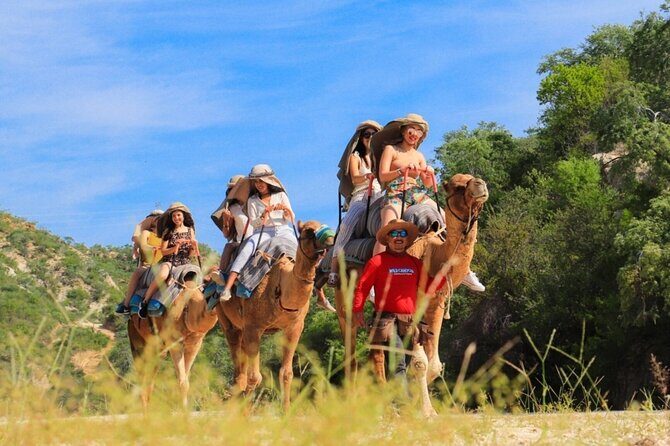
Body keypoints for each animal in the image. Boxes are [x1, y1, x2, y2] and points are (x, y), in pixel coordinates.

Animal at [127, 272, 218, 408]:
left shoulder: (195, 343)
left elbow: (186, 381)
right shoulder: (174, 342)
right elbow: (182, 382)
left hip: (158, 349)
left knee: (150, 381)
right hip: (135, 337)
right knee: (141, 376)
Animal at [215, 220, 334, 411]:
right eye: (308, 230)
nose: (330, 239)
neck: (280, 286)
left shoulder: (295, 327)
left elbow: (287, 373)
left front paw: (286, 411)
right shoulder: (253, 327)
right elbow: (255, 376)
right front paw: (245, 413)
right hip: (227, 322)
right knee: (239, 370)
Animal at [335, 174, 489, 385]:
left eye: (471, 178)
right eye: (456, 187)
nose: (481, 184)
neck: (431, 253)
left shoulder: (436, 302)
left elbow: (433, 365)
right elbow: (419, 362)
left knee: (376, 348)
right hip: (343, 290)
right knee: (350, 348)